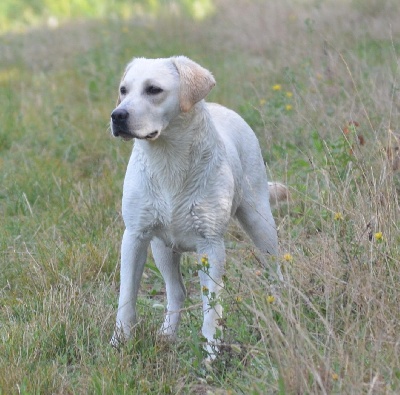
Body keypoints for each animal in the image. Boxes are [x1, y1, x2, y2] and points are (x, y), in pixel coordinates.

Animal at [108, 55, 286, 356]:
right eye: (123, 90)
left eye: (153, 89)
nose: (117, 115)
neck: (167, 158)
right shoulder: (134, 237)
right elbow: (127, 297)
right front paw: (119, 342)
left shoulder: (210, 244)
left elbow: (211, 306)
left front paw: (212, 352)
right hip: (161, 248)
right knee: (176, 291)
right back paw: (167, 335)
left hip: (260, 222)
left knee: (277, 273)